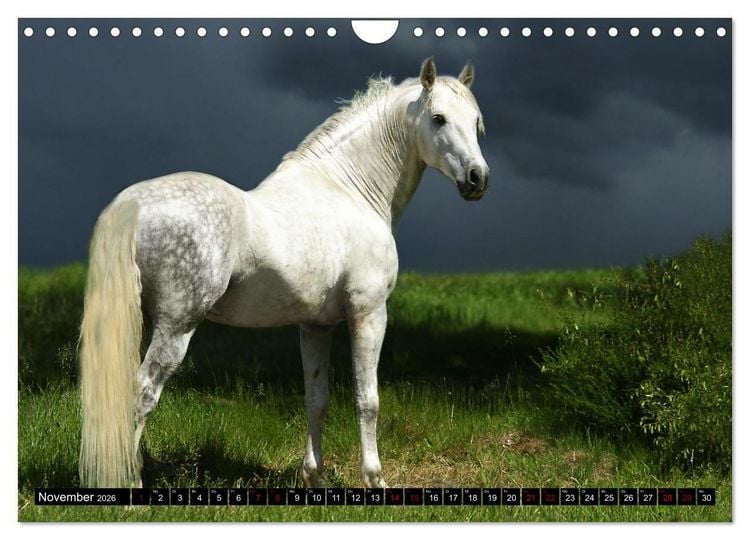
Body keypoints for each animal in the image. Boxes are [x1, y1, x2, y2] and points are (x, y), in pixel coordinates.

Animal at [78, 57, 490, 489]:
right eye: (439, 118)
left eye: (475, 120)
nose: (477, 179)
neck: (348, 190)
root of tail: (130, 206)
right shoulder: (369, 314)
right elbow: (368, 400)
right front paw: (374, 478)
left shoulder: (315, 326)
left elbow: (316, 398)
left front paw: (312, 476)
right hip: (175, 327)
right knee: (141, 395)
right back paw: (129, 483)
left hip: (139, 322)